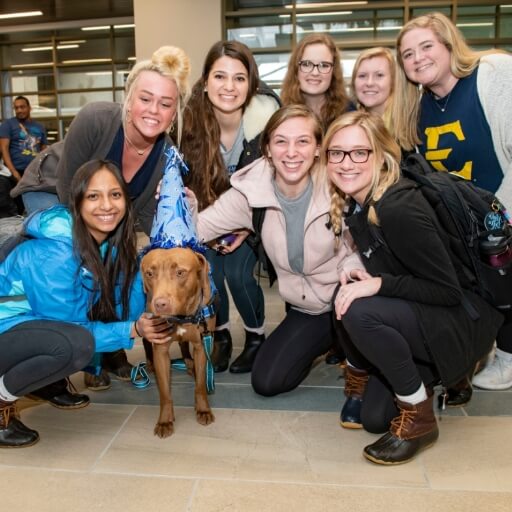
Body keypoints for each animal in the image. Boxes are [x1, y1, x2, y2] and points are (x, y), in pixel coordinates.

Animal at [139, 247, 215, 436]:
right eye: (150, 273)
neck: (181, 317)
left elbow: (200, 385)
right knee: (146, 342)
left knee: (183, 344)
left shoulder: (201, 346)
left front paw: (203, 410)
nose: (160, 304)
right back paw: (149, 364)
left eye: (180, 272)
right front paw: (165, 421)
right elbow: (165, 392)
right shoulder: (161, 352)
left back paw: (189, 364)